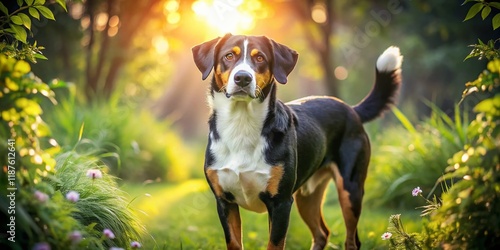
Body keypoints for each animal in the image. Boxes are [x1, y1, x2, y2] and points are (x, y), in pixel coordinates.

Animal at [191, 33, 402, 250]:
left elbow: (275, 244)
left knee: (352, 240)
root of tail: (351, 109)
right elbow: (234, 243)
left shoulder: (281, 203)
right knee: (322, 233)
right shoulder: (225, 202)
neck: (241, 125)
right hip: (307, 197)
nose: (243, 77)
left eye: (260, 58)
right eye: (229, 56)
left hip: (350, 189)